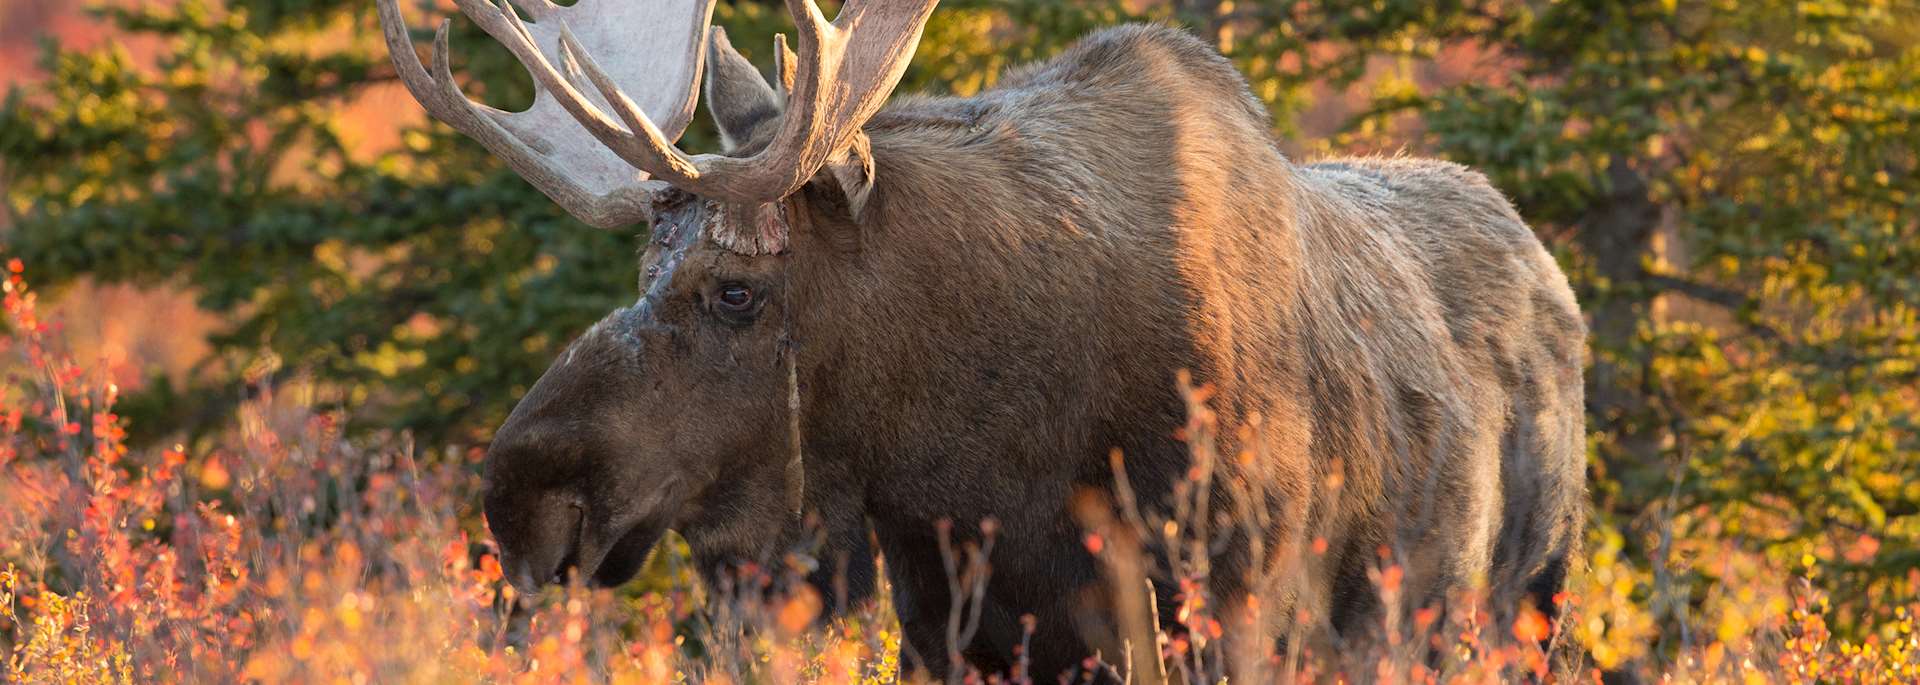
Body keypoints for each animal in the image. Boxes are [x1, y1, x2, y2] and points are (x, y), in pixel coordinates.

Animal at [375, 0, 1587, 679]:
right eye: (640, 271)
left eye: (736, 291)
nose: (520, 494)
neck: (983, 453)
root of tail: (1549, 267)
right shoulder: (946, 617)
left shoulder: (1232, 598)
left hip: (1523, 597)